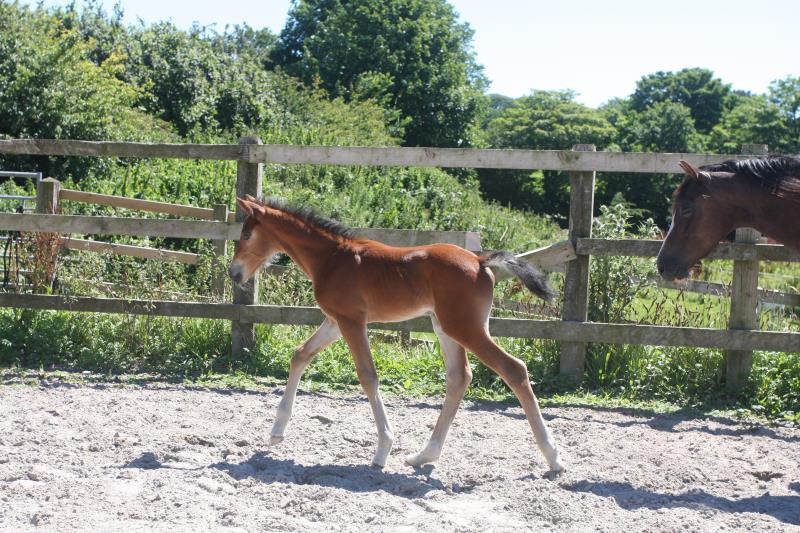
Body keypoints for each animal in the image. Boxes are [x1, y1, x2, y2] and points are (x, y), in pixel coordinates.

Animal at [228, 197, 564, 472]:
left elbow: (368, 376)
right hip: (445, 327)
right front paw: (276, 432)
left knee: (513, 369)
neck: (331, 258)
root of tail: (480, 261)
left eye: (246, 235)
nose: (234, 273)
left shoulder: (352, 321)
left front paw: (382, 450)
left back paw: (553, 457)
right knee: (459, 377)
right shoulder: (335, 321)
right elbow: (300, 355)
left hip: (464, 327)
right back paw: (423, 456)